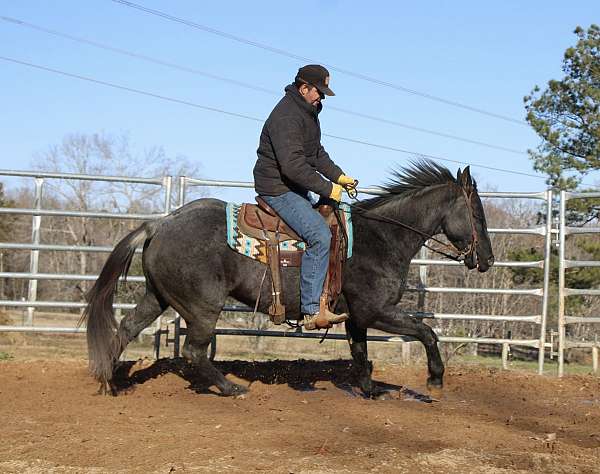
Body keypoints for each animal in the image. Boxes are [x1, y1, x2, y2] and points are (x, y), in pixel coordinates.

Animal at [82, 161, 494, 398]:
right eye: (477, 212)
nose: (487, 259)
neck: (380, 238)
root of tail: (161, 223)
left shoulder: (356, 317)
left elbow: (361, 352)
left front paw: (369, 389)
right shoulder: (377, 310)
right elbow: (427, 333)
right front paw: (436, 380)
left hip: (159, 296)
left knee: (126, 329)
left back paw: (109, 383)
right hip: (203, 306)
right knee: (193, 351)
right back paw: (232, 388)